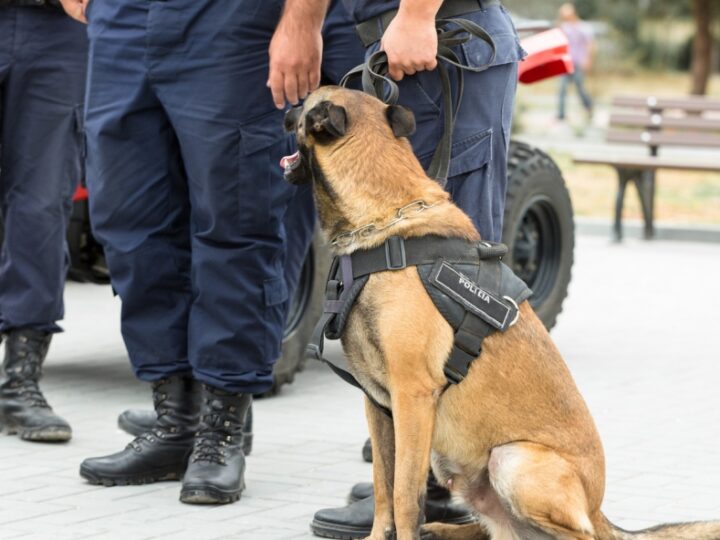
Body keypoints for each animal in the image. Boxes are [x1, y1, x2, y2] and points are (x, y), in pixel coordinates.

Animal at [282, 85, 720, 540]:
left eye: (302, 105)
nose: (283, 107)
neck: (387, 223)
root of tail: (597, 509)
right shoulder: (377, 404)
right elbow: (383, 487)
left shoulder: (412, 398)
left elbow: (404, 494)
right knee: (494, 530)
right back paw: (440, 529)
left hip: (512, 460)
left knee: (580, 535)